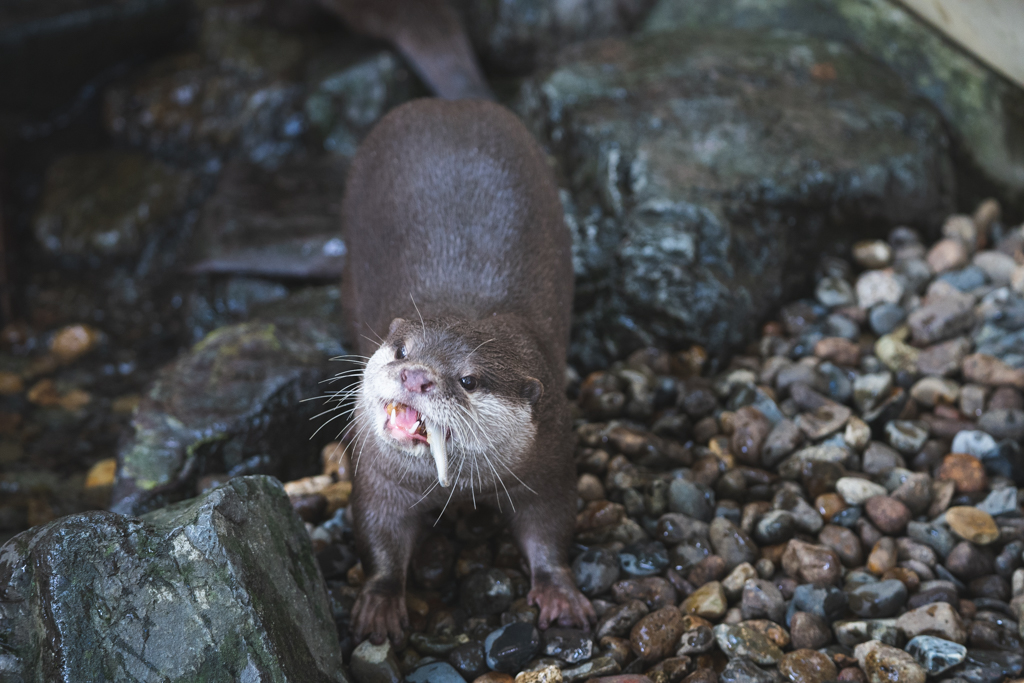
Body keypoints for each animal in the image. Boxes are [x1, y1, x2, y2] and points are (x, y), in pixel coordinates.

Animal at [339, 97, 593, 647]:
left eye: (469, 380)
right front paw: (381, 606)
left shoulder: (549, 456)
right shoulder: (378, 472)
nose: (416, 376)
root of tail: (446, 104)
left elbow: (551, 523)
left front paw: (559, 593)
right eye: (401, 350)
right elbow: (378, 530)